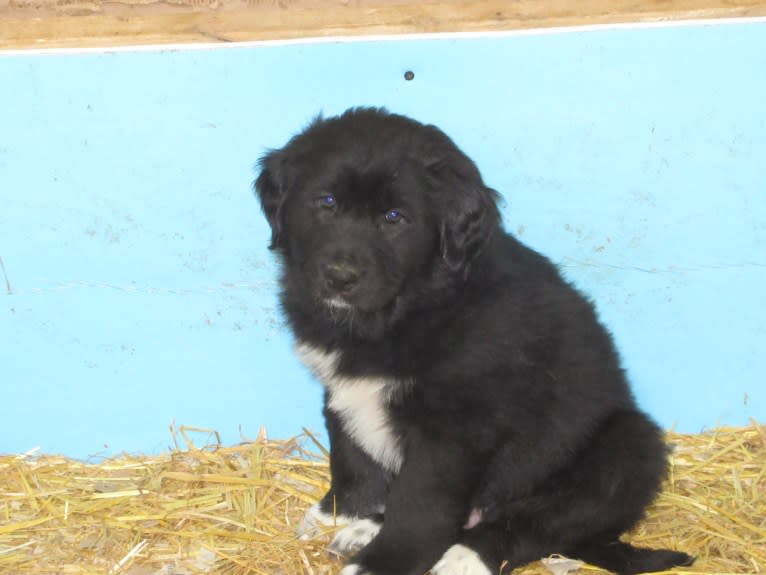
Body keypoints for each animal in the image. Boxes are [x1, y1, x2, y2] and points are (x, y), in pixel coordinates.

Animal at [254, 109, 696, 575]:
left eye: (394, 217)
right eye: (326, 202)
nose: (339, 276)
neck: (409, 309)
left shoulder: (455, 430)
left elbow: (420, 506)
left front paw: (383, 563)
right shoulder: (343, 391)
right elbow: (353, 457)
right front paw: (341, 514)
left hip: (626, 448)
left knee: (539, 524)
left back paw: (465, 555)